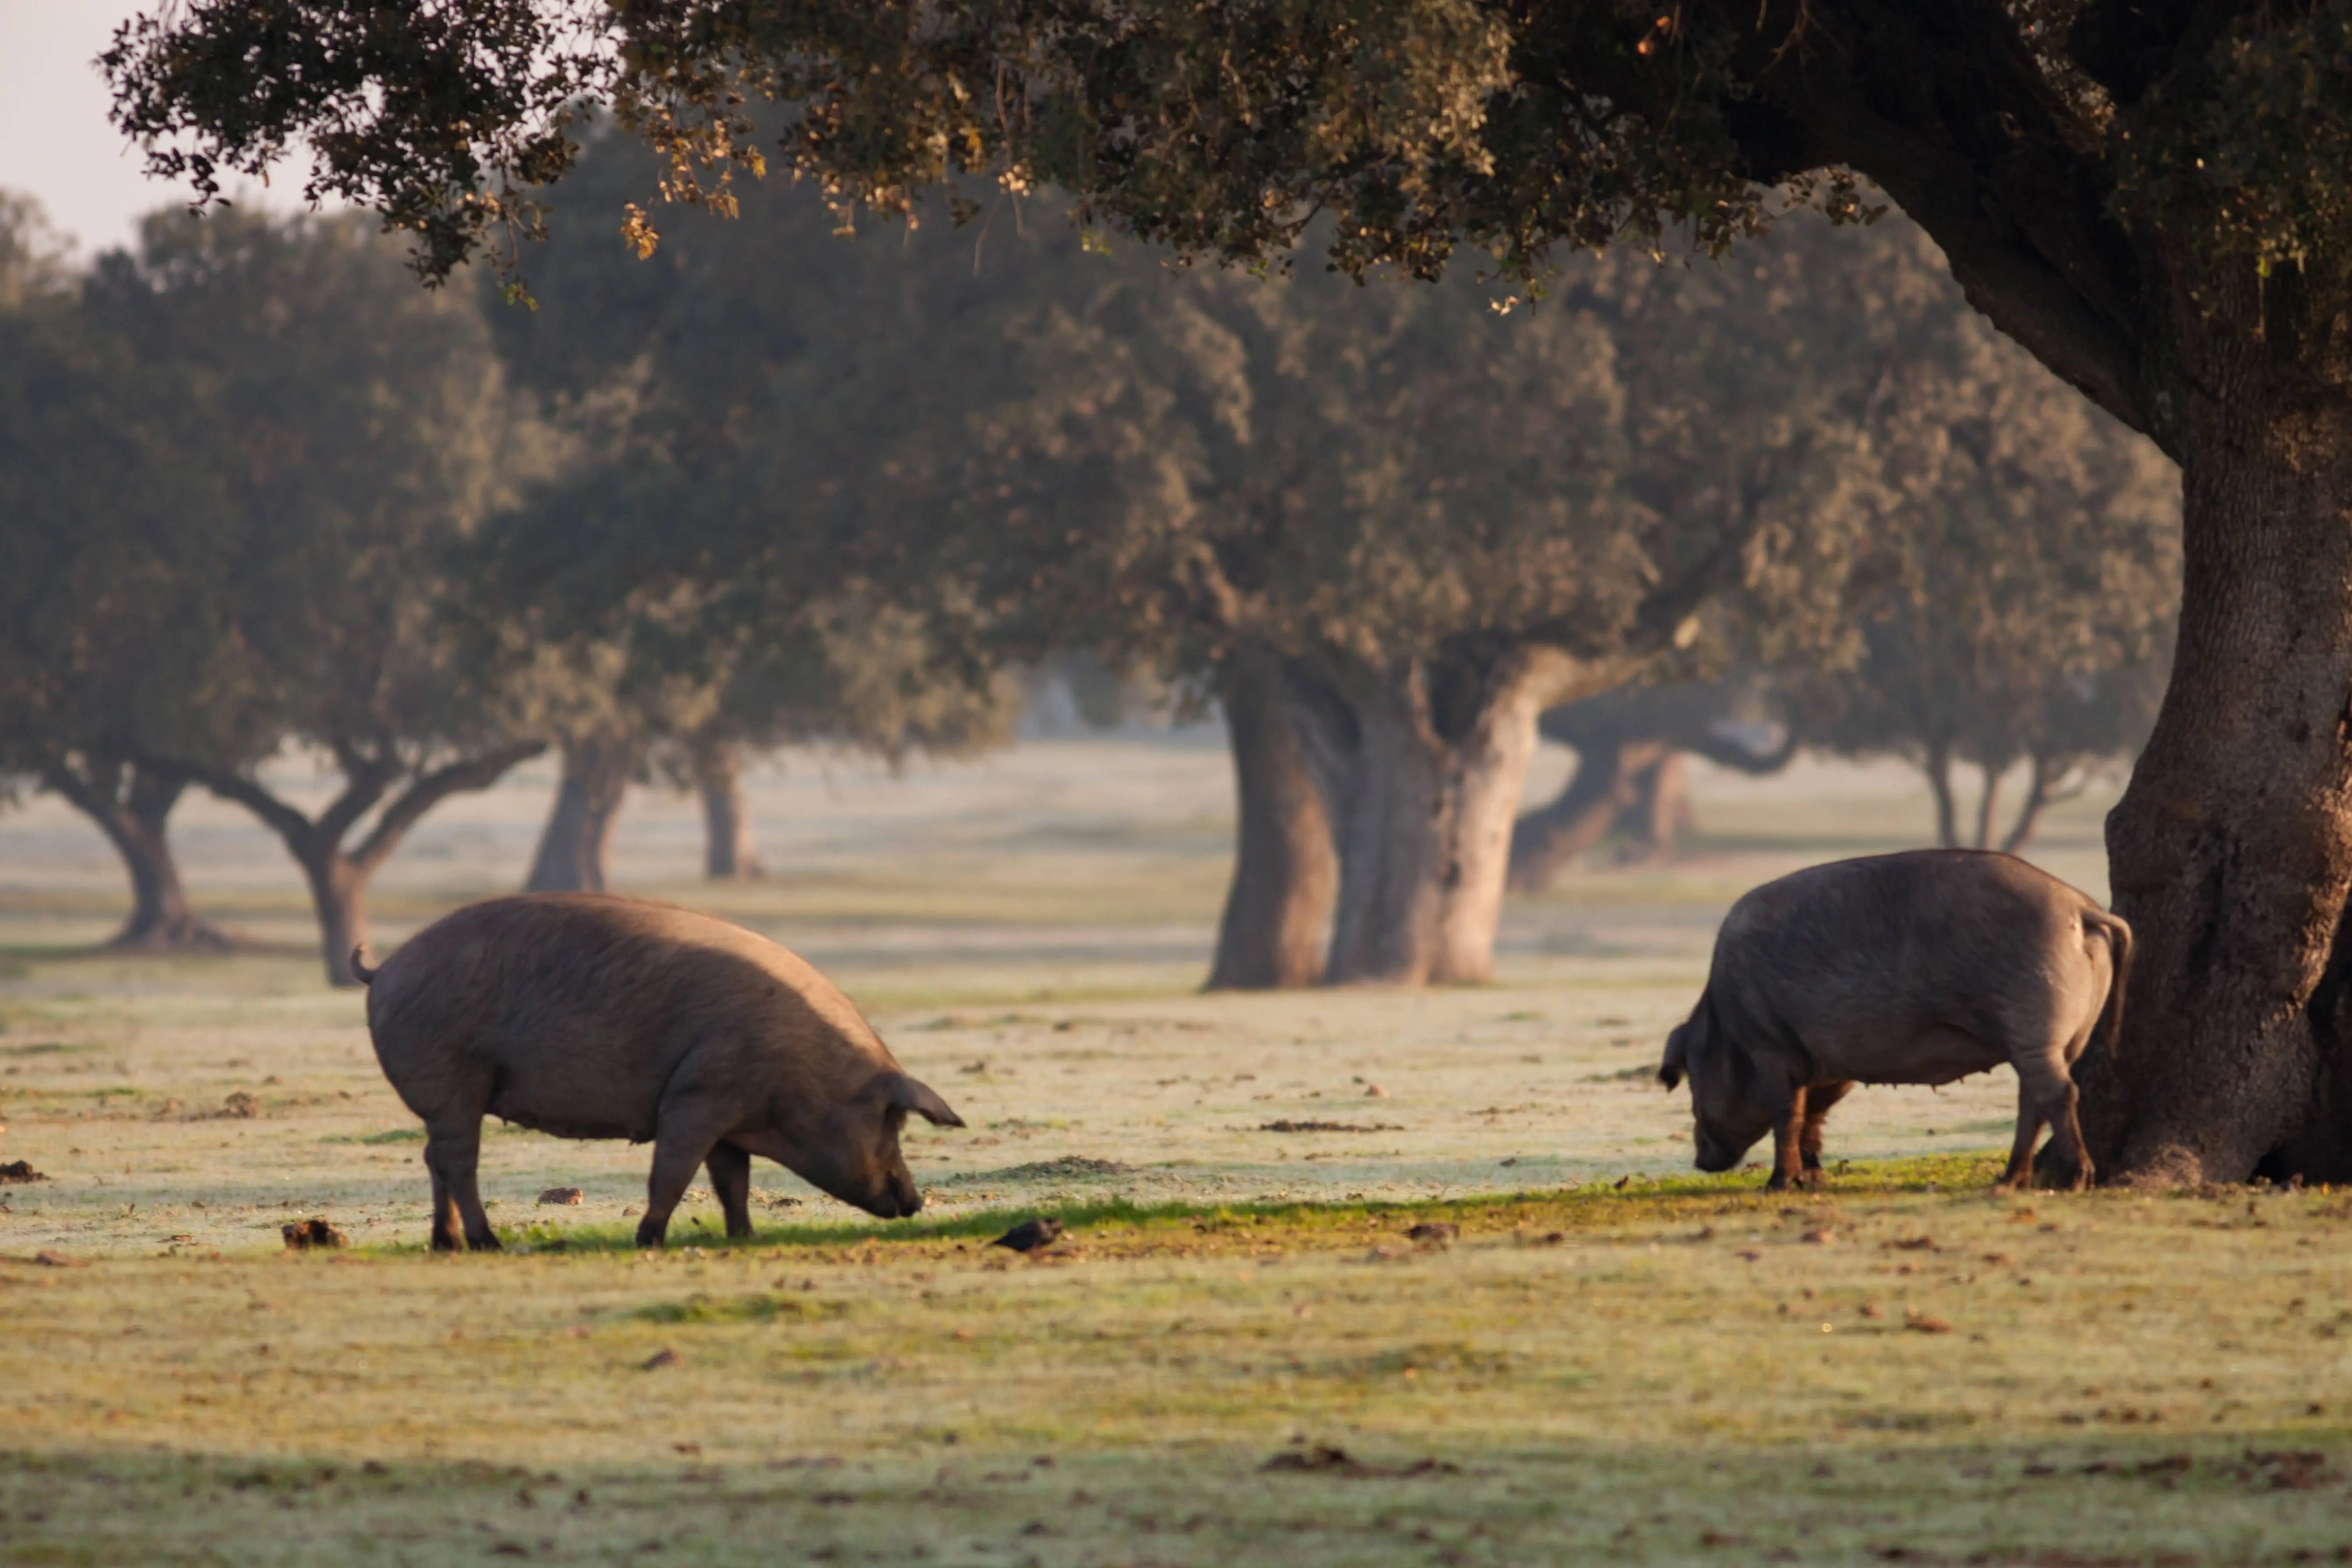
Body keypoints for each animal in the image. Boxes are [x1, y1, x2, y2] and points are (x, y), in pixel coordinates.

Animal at [346, 893, 964, 1251]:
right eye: (890, 1124)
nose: (913, 1201)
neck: (802, 1075)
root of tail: (385, 969)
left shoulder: (727, 1114)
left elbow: (732, 1179)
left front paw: (743, 1236)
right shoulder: (697, 1096)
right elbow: (671, 1171)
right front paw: (649, 1240)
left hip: (444, 1099)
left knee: (434, 1159)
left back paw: (445, 1242)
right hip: (453, 1081)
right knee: (458, 1161)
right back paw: (486, 1242)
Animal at [1656, 851, 2135, 1194]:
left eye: (1692, 1080)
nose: (1699, 1160)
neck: (1726, 1022)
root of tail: (2081, 907)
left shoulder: (1769, 1046)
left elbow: (1787, 1112)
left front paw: (1778, 1185)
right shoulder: (1828, 1063)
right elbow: (1813, 1112)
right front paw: (1813, 1179)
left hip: (2033, 1025)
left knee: (2058, 1093)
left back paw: (2074, 1179)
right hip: (2065, 1036)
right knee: (2034, 1101)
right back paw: (2009, 1180)